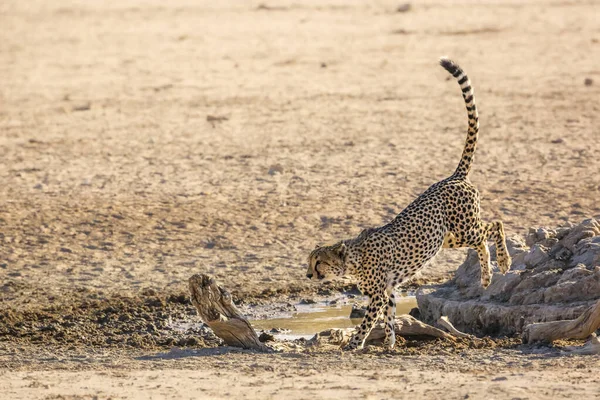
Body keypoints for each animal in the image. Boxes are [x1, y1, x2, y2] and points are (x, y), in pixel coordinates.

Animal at [310, 57, 510, 350]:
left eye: (318, 263)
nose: (308, 275)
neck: (353, 259)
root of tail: (454, 176)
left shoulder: (378, 294)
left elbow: (368, 322)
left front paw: (354, 343)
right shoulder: (390, 291)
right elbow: (390, 318)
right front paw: (390, 344)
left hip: (463, 228)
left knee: (495, 225)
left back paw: (503, 264)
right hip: (447, 238)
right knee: (482, 240)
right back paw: (486, 277)